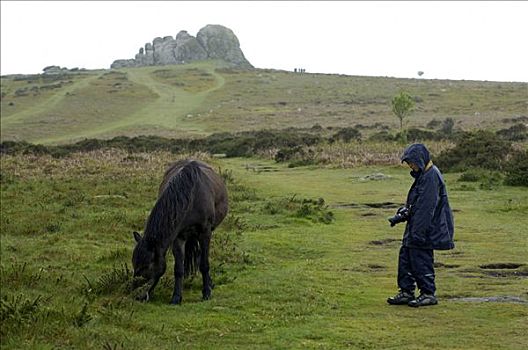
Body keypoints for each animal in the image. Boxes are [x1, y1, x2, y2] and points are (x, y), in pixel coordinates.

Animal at [131, 159, 227, 304]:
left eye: (146, 267)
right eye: (134, 265)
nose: (138, 296)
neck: (192, 198)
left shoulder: (205, 232)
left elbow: (204, 264)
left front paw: (206, 293)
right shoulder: (178, 236)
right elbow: (178, 268)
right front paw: (176, 297)